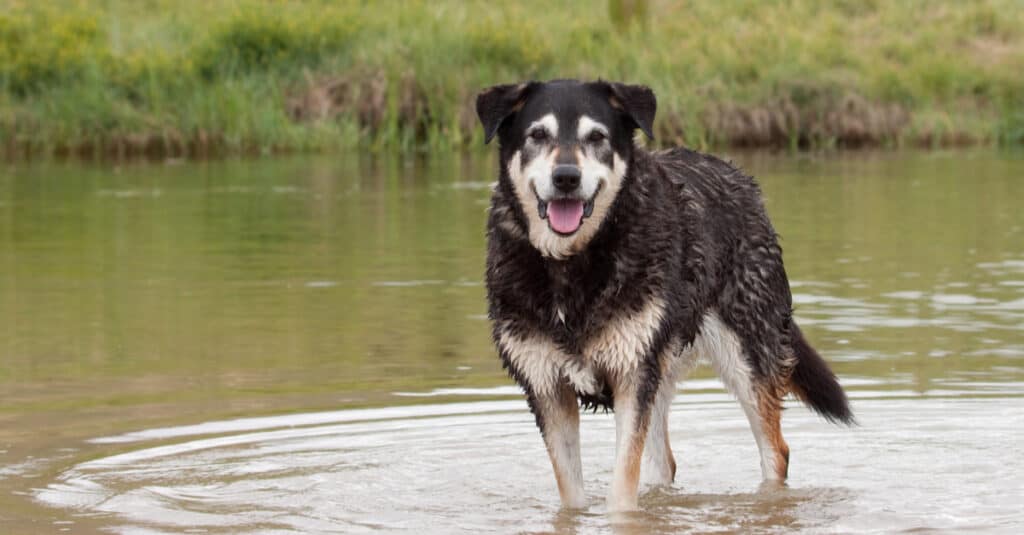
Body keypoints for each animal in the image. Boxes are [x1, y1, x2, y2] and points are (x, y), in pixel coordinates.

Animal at [475, 77, 851, 508]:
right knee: (662, 463)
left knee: (776, 453)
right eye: (537, 135)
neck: (572, 265)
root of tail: (739, 176)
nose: (566, 177)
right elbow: (574, 494)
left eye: (596, 137)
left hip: (745, 356)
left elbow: (622, 490)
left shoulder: (632, 372)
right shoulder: (547, 385)